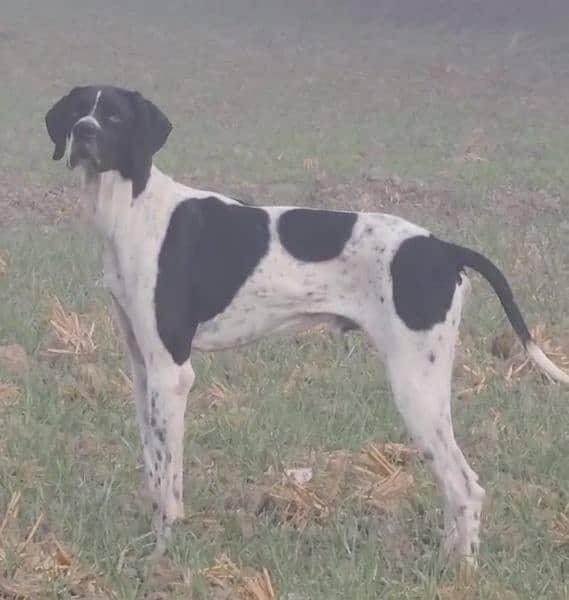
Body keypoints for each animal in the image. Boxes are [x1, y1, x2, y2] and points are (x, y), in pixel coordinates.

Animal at [45, 84, 568, 564]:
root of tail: (443, 248)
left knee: (465, 487)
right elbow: (155, 471)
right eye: (79, 111)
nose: (83, 133)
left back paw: (460, 571)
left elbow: (169, 480)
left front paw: (162, 557)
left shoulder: (171, 373)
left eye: (113, 117)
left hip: (415, 387)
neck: (134, 208)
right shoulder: (142, 370)